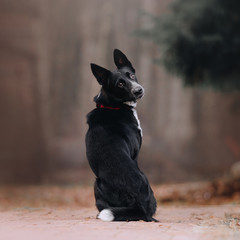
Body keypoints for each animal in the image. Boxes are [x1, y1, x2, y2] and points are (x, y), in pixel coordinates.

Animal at [85, 49, 158, 222]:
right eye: (120, 83)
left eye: (130, 75)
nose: (138, 90)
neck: (113, 105)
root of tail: (138, 205)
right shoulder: (135, 153)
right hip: (97, 183)